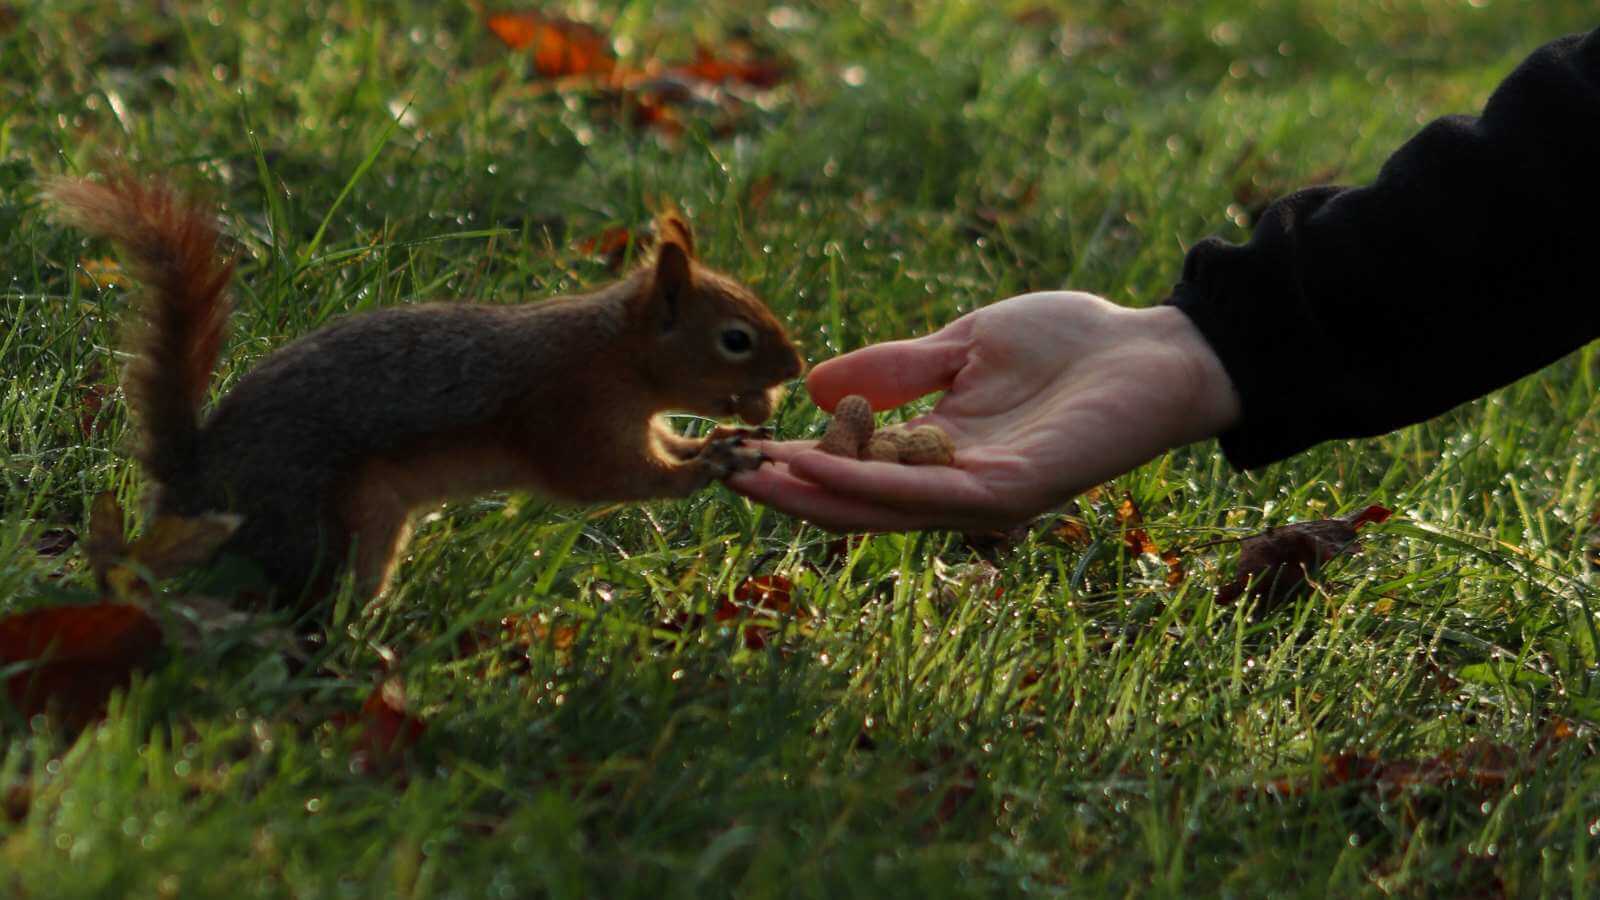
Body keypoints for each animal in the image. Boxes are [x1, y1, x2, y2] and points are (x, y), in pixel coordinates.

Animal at [47, 175, 805, 608]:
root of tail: (195, 488)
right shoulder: (570, 411)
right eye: (736, 339)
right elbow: (614, 477)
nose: (796, 368)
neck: (617, 353)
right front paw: (705, 465)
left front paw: (719, 440)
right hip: (334, 523)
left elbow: (665, 440)